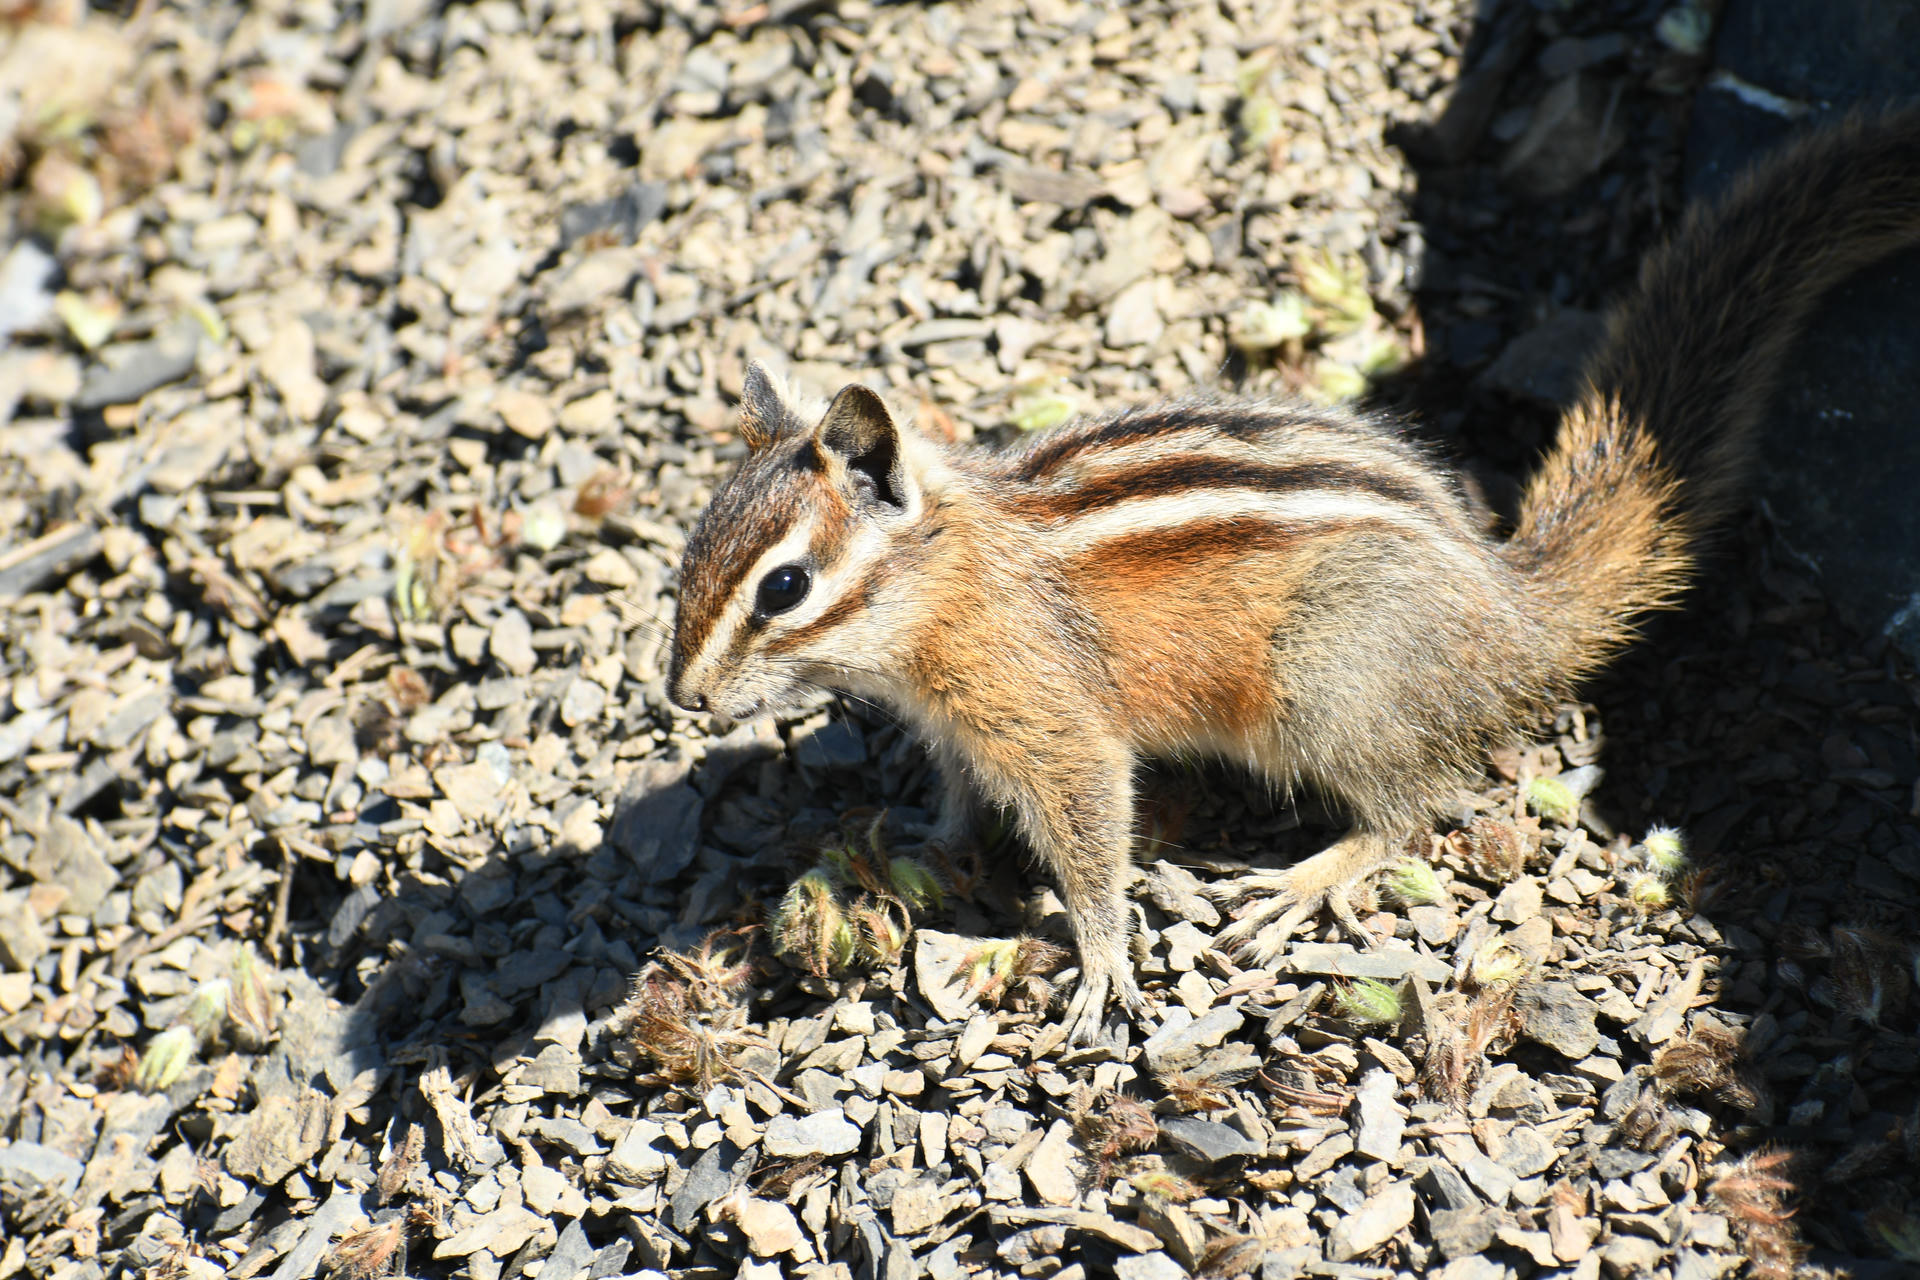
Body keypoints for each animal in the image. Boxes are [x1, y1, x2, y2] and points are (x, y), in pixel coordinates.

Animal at [666, 108, 1920, 1043]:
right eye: (689, 555)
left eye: (783, 587)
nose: (681, 695)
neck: (948, 586)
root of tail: (1513, 609)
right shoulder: (960, 725)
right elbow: (962, 793)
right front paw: (924, 838)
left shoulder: (1055, 722)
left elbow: (1090, 839)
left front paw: (1100, 959)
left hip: (1326, 679)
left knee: (1416, 809)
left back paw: (1308, 875)